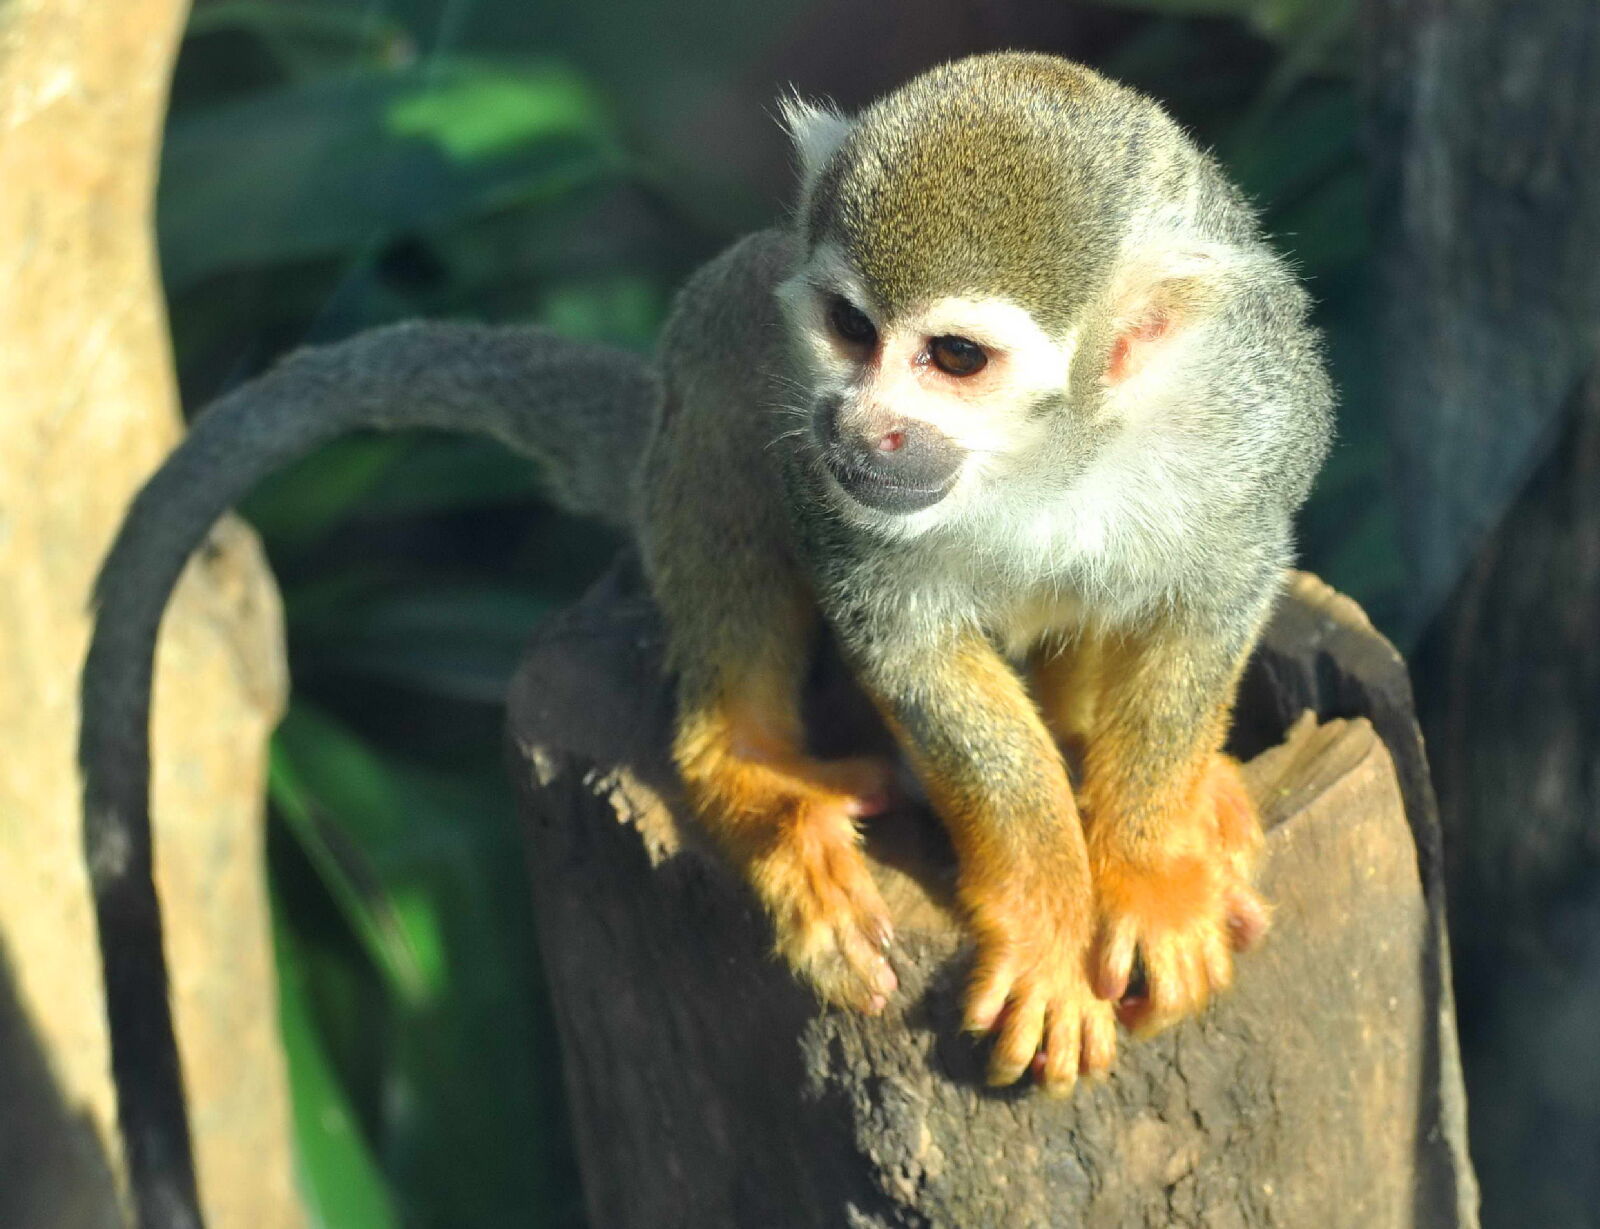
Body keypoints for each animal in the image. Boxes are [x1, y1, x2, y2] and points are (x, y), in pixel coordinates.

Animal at [81, 52, 1331, 1228]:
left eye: (954, 359)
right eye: (852, 329)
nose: (861, 425)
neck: (1046, 456)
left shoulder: (1250, 418)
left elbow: (1214, 595)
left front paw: (1152, 861)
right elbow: (899, 630)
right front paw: (1044, 904)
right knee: (735, 377)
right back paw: (749, 766)